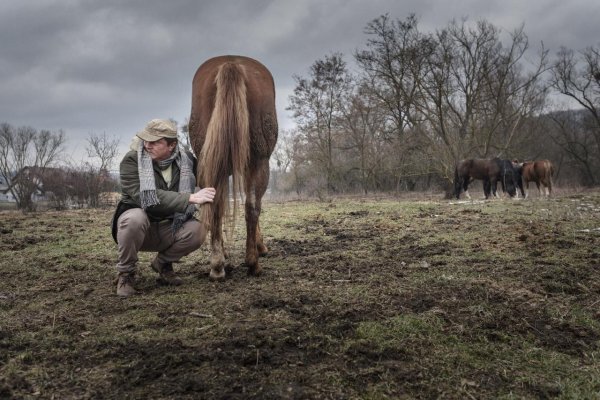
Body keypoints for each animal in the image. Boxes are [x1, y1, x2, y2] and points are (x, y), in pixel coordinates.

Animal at [189, 54, 278, 280]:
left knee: (219, 205)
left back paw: (218, 265)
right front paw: (259, 246)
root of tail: (231, 63)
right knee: (251, 206)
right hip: (259, 162)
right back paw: (250, 263)